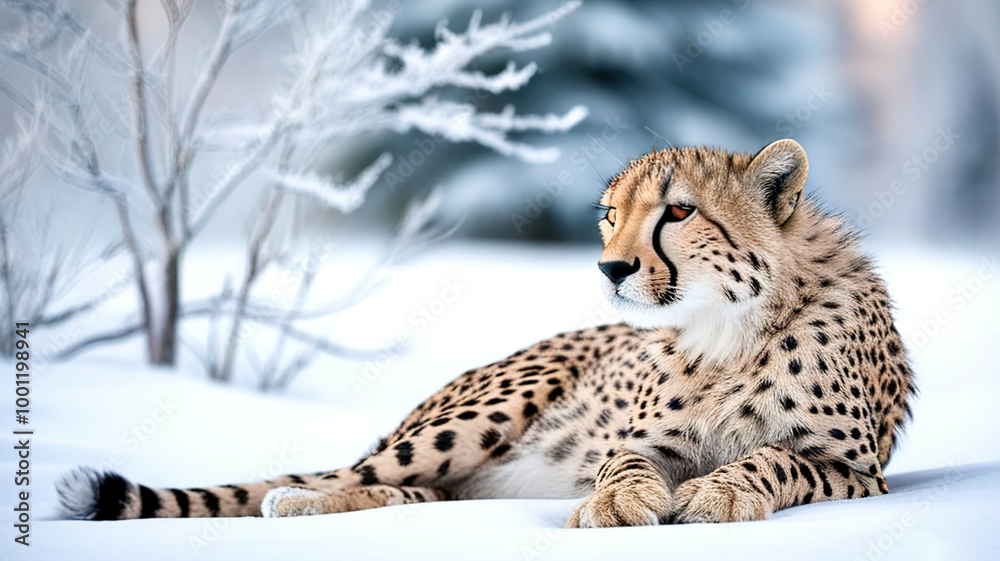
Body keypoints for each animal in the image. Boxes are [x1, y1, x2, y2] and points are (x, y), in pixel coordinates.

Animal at [58, 139, 915, 527]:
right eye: (612, 214)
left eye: (678, 210)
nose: (610, 266)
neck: (726, 332)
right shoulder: (640, 438)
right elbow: (624, 460)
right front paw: (618, 502)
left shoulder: (858, 472)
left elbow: (776, 457)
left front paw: (721, 489)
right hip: (487, 409)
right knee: (360, 472)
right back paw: (297, 500)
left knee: (409, 489)